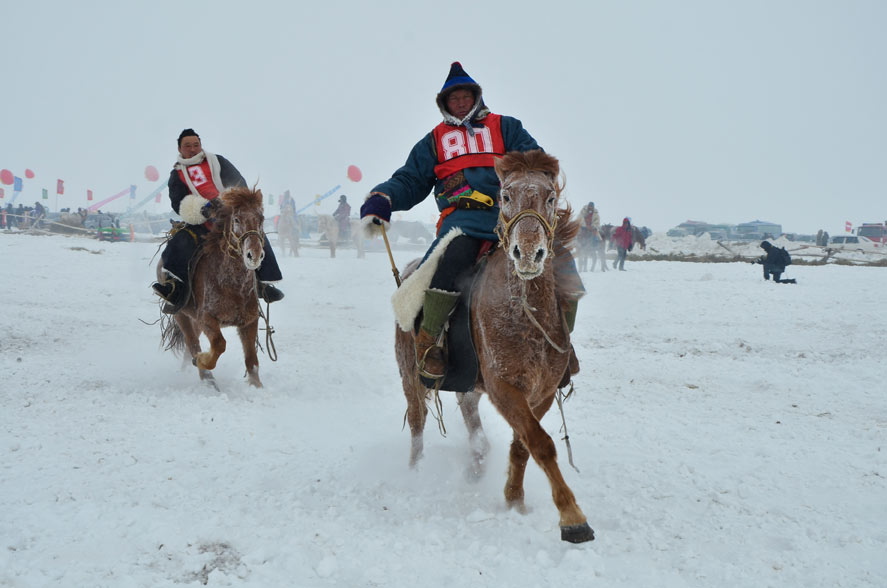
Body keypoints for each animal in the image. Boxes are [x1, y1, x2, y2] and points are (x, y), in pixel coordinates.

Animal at [161, 188, 268, 388]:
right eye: (236, 219)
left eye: (261, 218)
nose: (254, 255)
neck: (233, 285)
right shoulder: (207, 318)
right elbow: (219, 344)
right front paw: (202, 361)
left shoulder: (249, 321)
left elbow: (252, 360)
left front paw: (257, 387)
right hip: (181, 314)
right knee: (192, 342)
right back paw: (207, 378)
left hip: (193, 319)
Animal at [396, 149, 596, 544]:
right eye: (505, 196)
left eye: (550, 197)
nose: (529, 253)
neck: (524, 313)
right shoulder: (505, 387)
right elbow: (541, 443)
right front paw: (572, 516)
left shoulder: (542, 391)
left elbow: (524, 444)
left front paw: (514, 499)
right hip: (411, 374)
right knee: (417, 420)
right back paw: (416, 472)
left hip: (469, 382)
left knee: (468, 412)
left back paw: (476, 462)